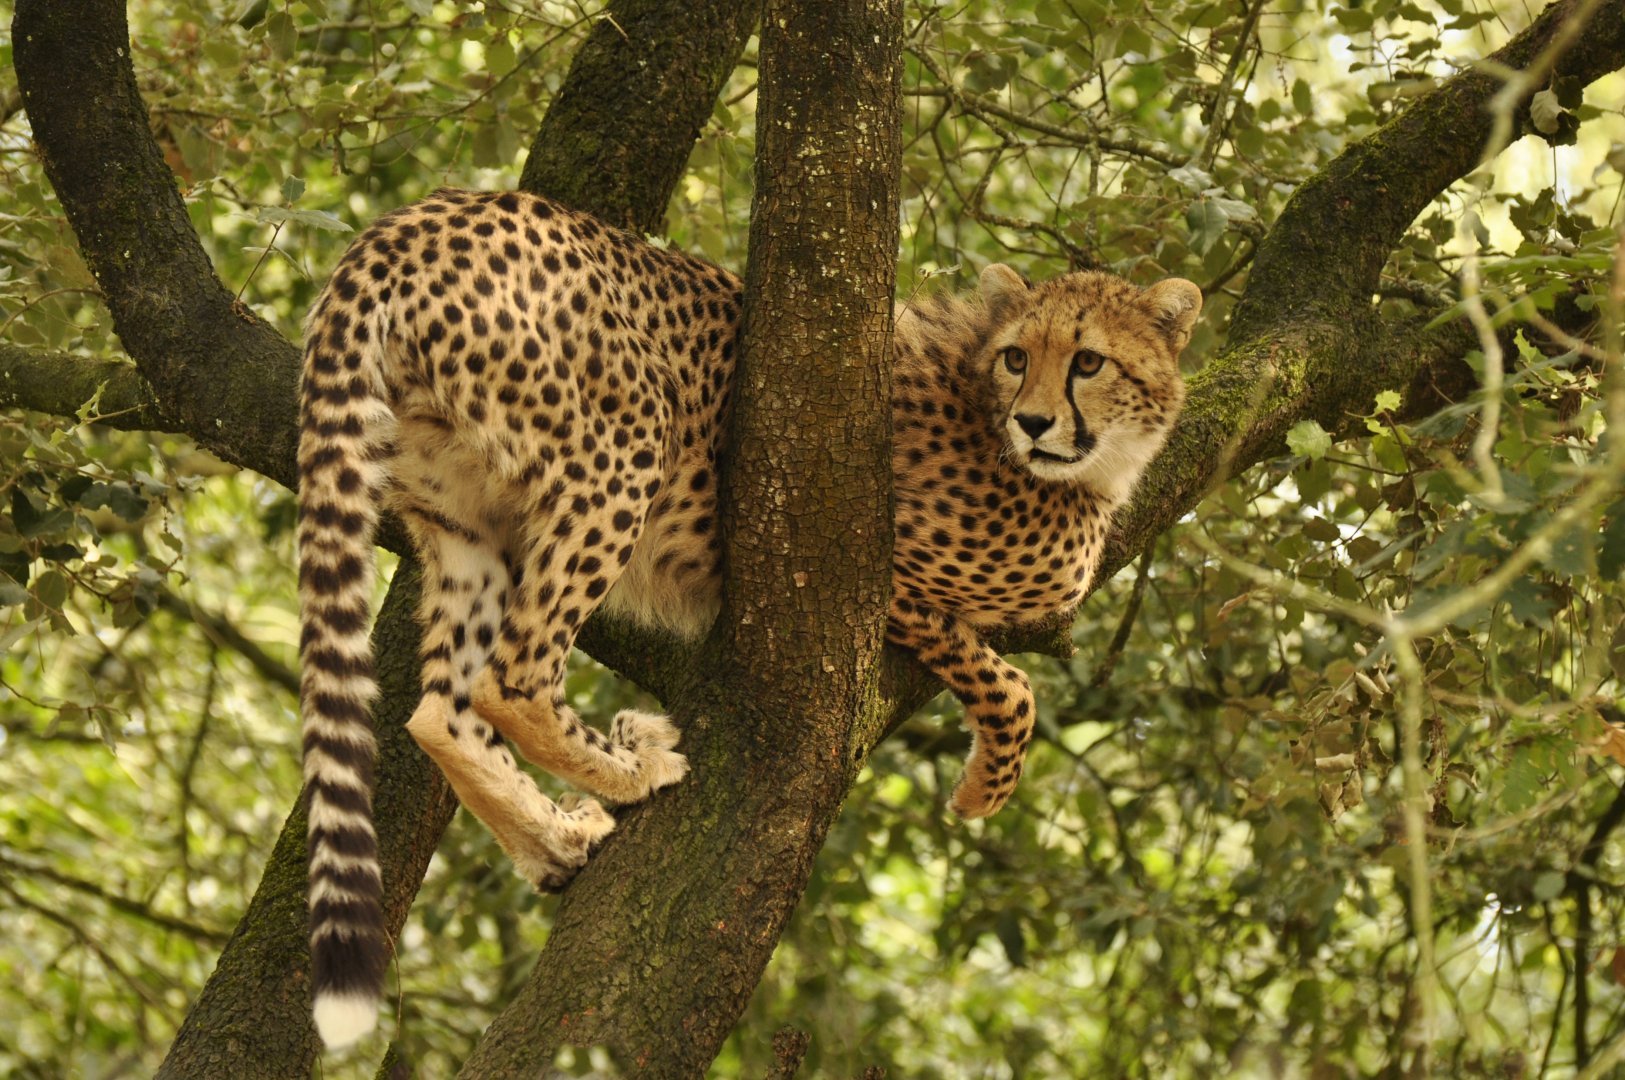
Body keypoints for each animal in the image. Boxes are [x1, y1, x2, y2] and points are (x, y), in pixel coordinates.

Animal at [295, 187, 1198, 1048]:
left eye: (1087, 361)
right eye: (1017, 357)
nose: (1034, 421)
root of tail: (412, 222)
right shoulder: (880, 572)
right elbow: (1012, 686)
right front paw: (984, 789)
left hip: (465, 521)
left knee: (437, 715)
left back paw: (557, 836)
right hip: (627, 443)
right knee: (513, 677)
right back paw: (633, 766)